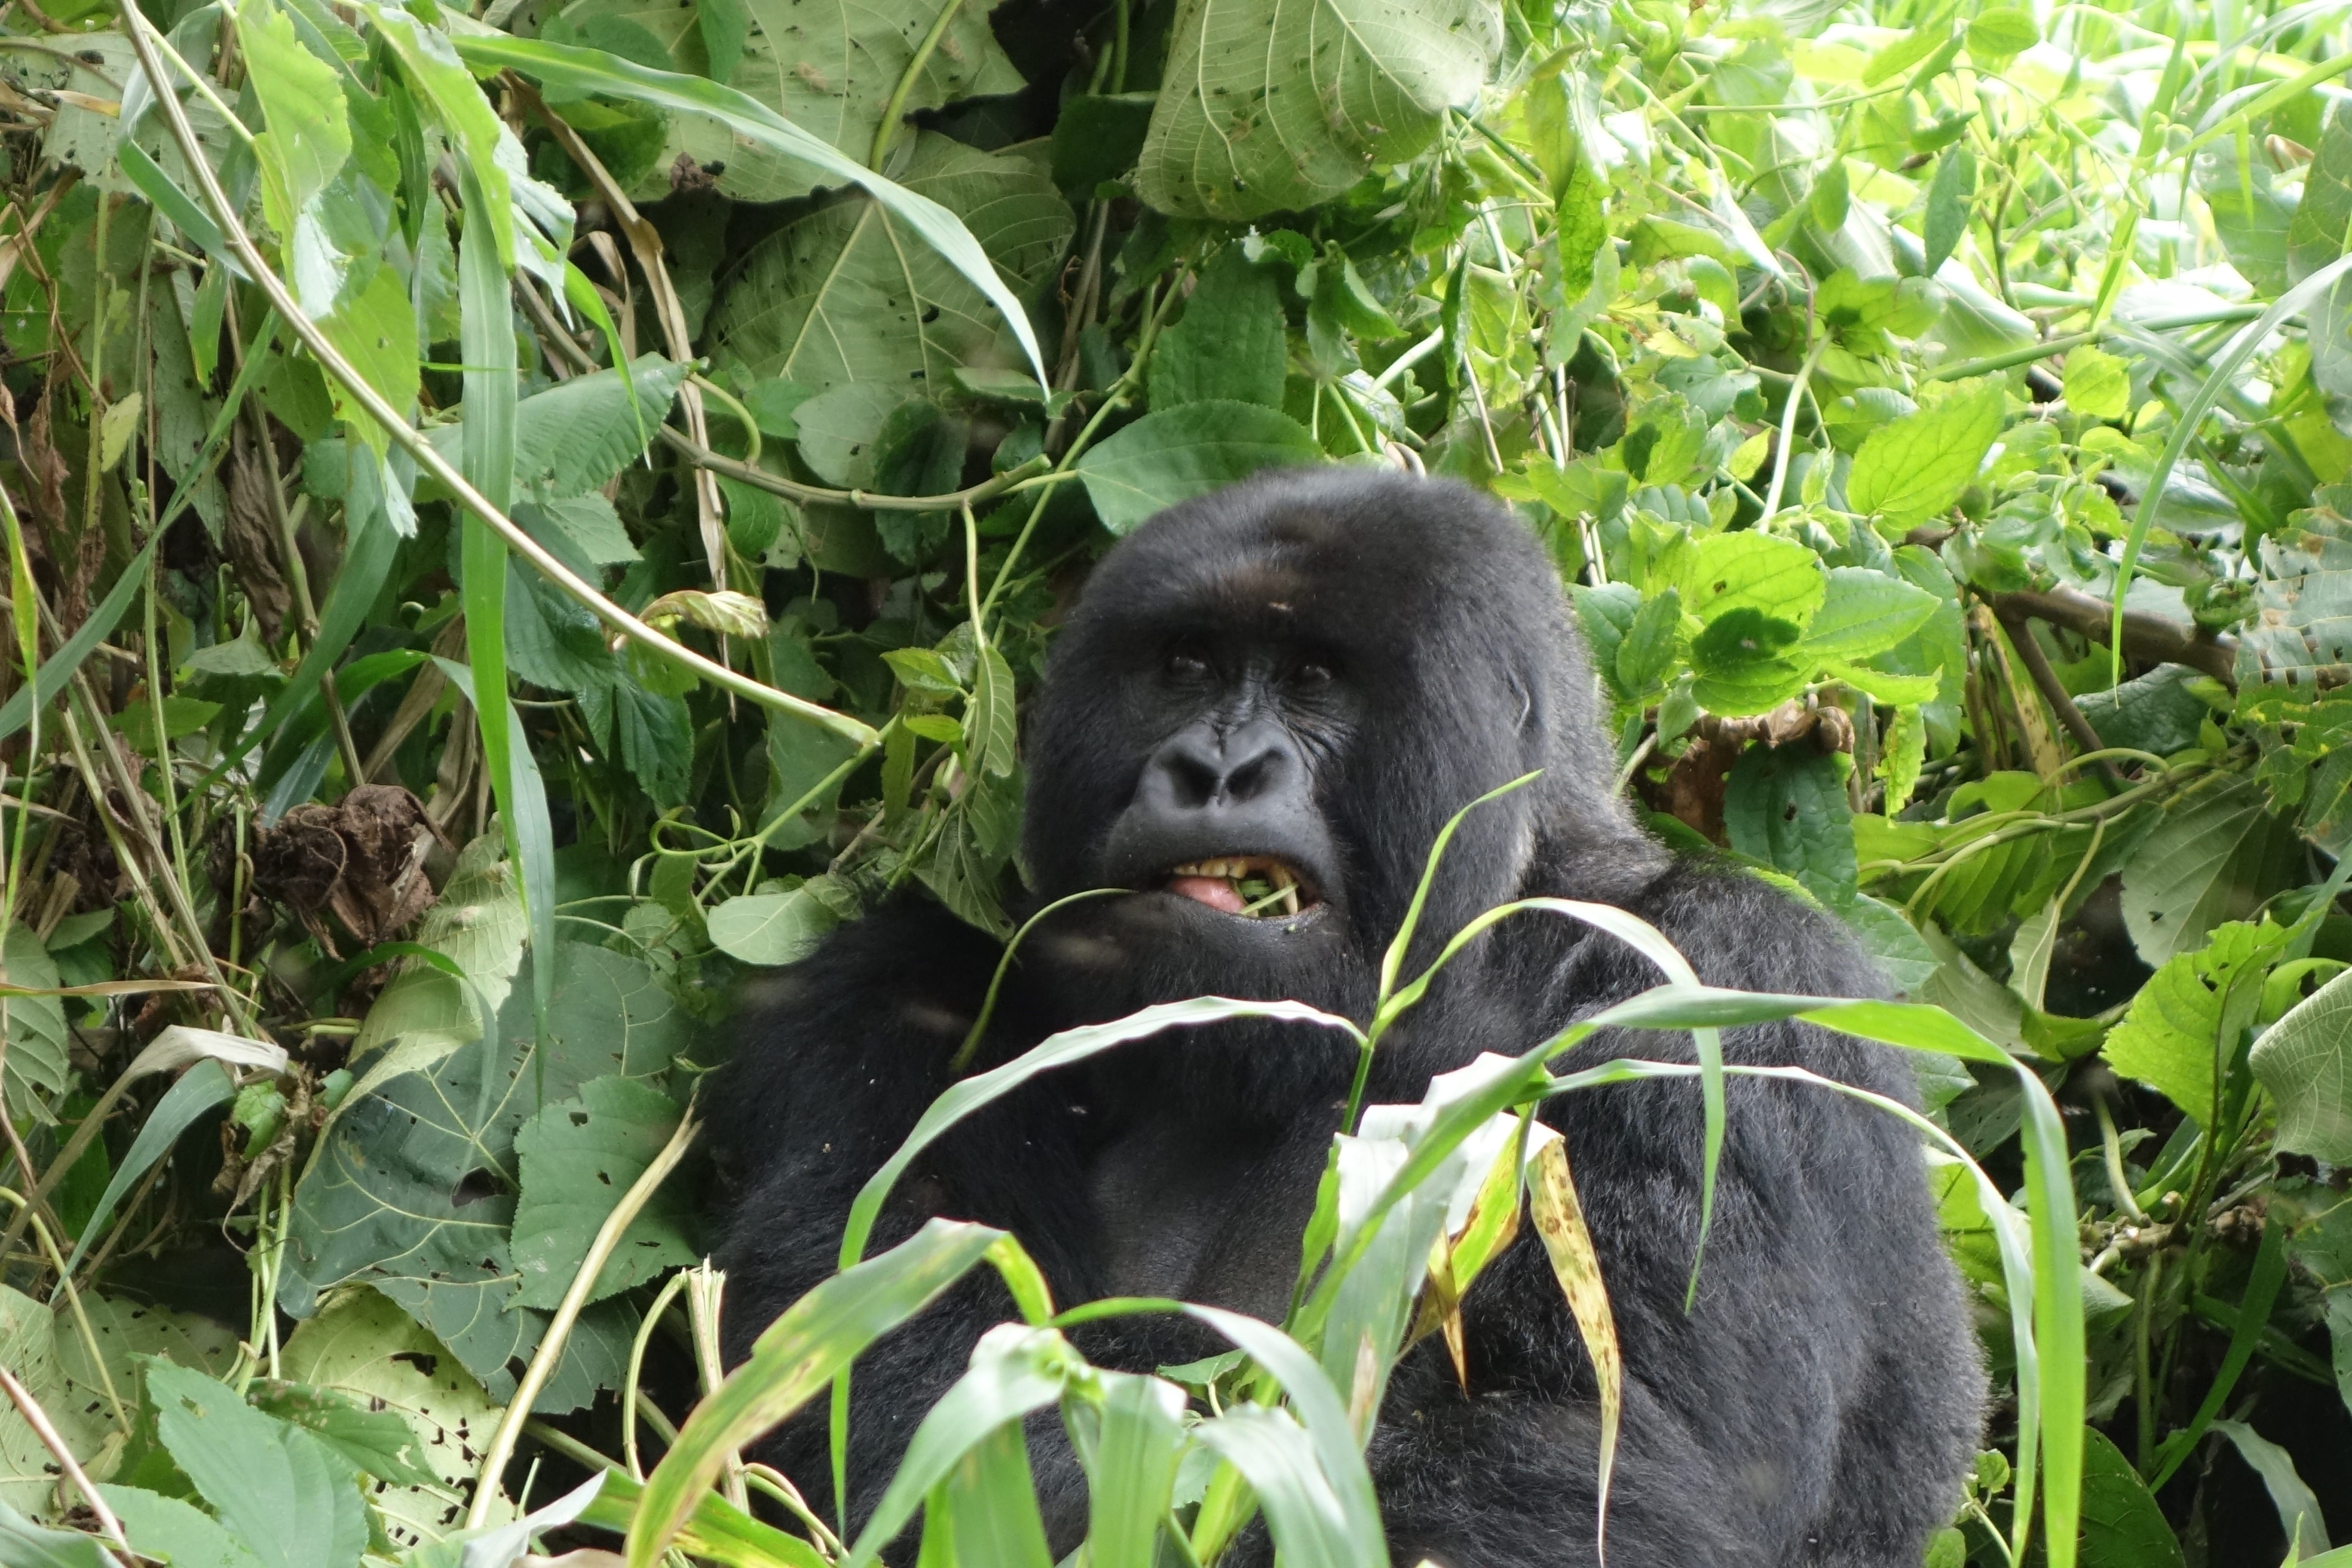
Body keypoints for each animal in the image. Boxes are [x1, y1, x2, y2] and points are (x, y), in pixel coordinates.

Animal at [710, 470, 1985, 1568]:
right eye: (1186, 664)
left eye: (1315, 680)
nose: (1216, 770)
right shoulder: (903, 986)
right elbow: (876, 1366)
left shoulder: (1732, 988)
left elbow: (1577, 1454)